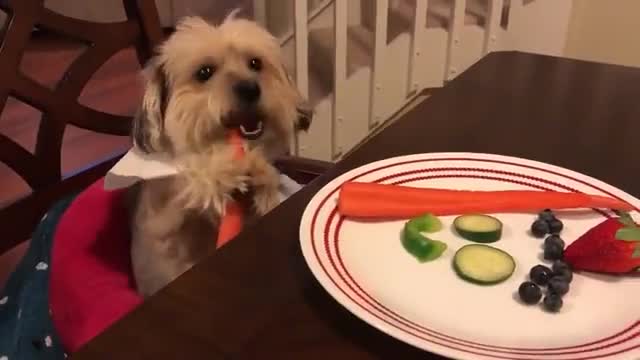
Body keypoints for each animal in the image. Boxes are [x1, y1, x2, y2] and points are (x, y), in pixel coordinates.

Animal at [125, 12, 312, 296]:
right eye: (204, 72)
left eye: (255, 63)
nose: (250, 88)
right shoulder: (161, 222)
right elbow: (186, 189)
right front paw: (225, 170)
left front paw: (260, 179)